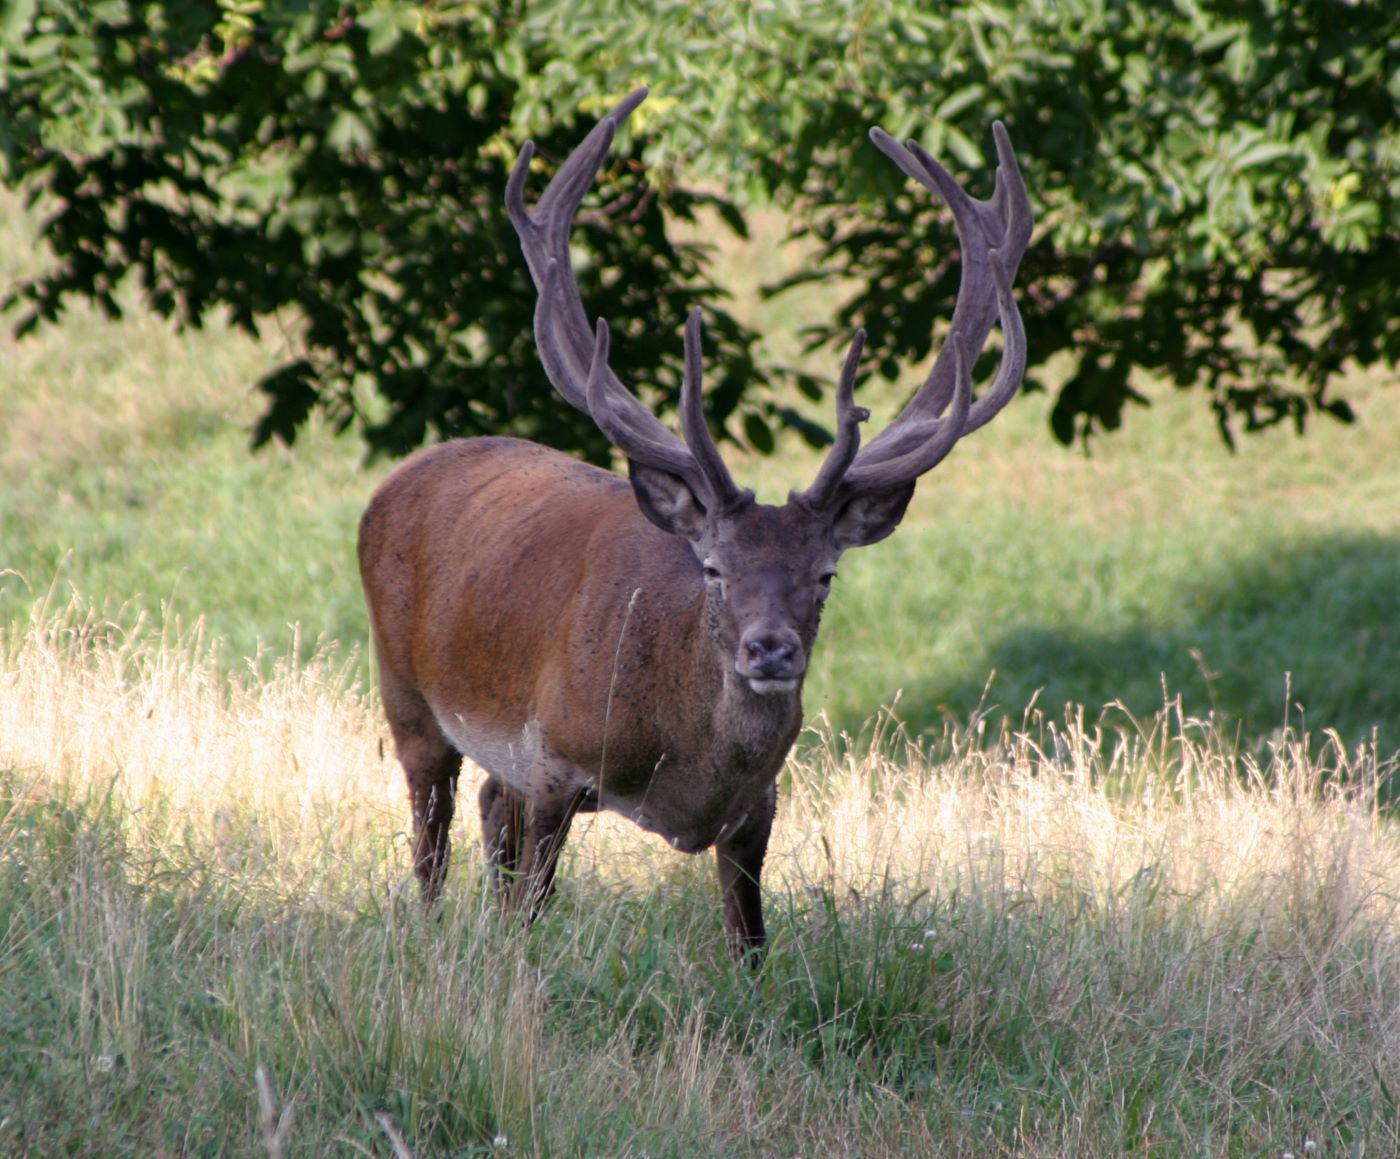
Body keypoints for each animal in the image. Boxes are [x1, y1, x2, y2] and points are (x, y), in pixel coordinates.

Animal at [357, 87, 1032, 962]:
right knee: (431, 833)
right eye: (715, 568)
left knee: (485, 811)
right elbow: (535, 904)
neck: (688, 767)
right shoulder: (556, 755)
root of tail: (402, 474)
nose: (770, 649)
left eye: (825, 574)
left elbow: (750, 943)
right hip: (406, 690)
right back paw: (434, 932)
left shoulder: (758, 806)